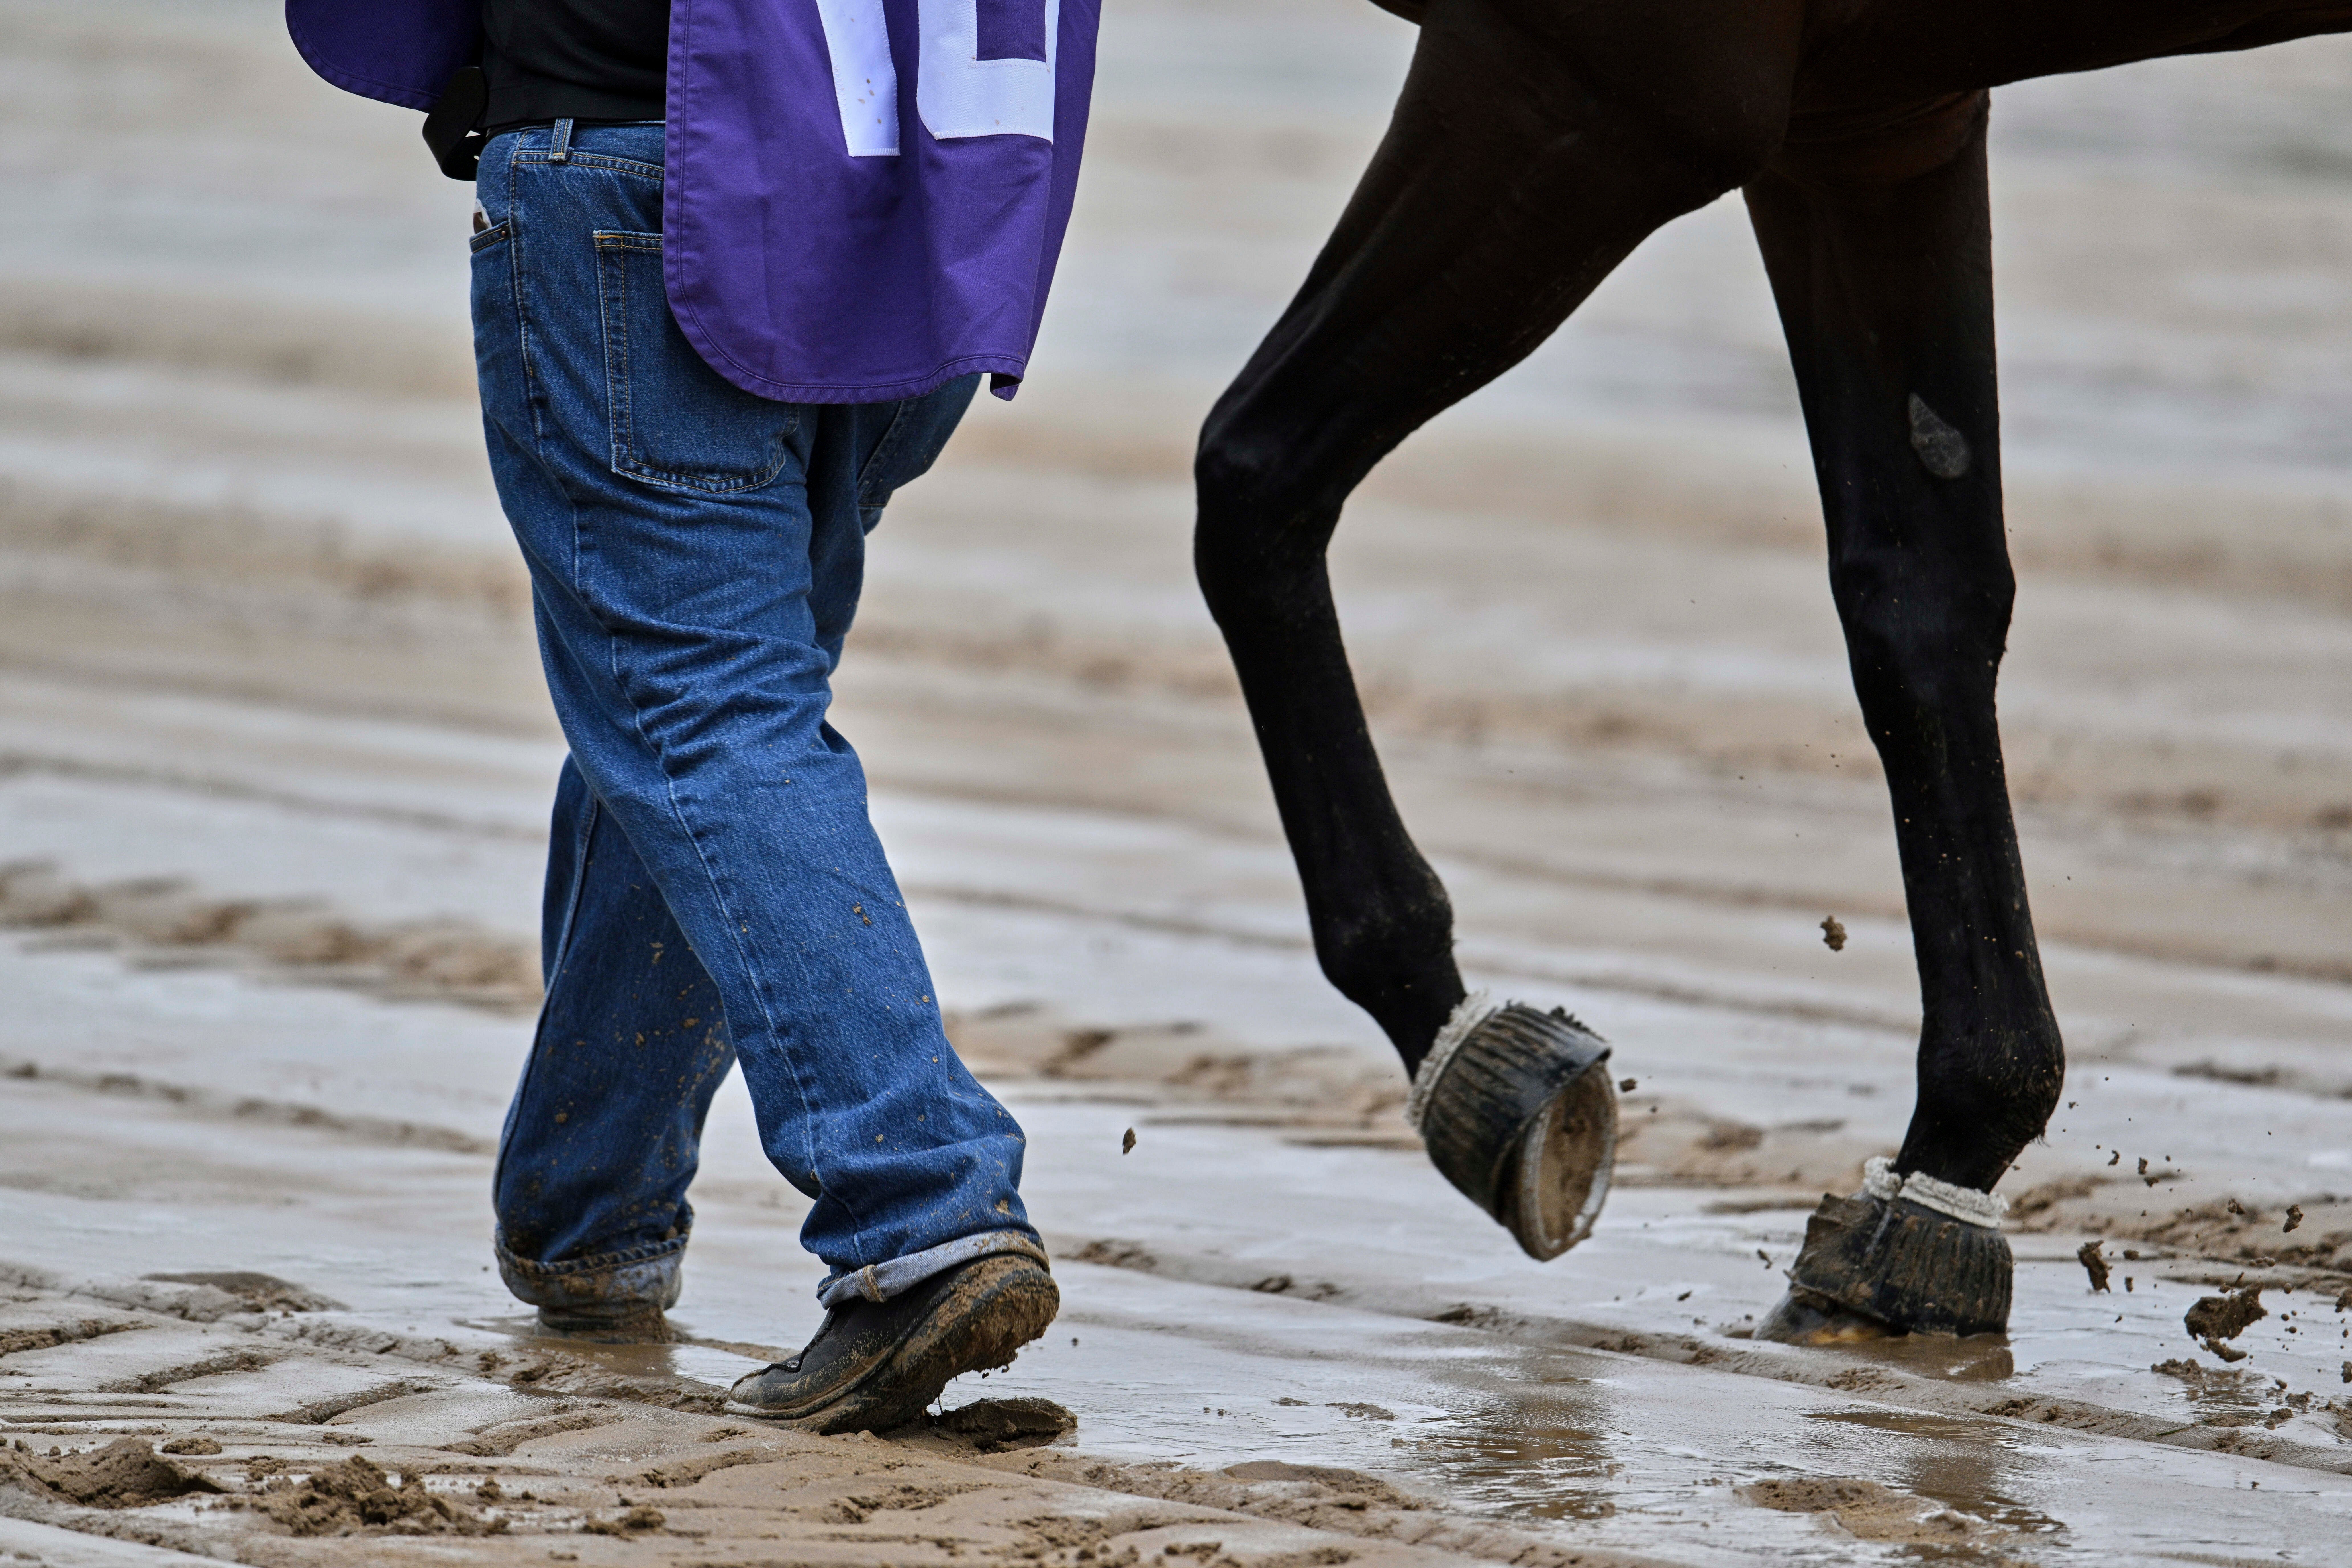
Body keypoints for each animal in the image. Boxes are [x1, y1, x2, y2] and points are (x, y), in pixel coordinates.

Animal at [1190, 0, 2351, 1340]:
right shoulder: (1876, 127)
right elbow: (1919, 602)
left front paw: (1470, 1056)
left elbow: (1256, 483)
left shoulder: (1602, 97)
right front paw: (1953, 1164)